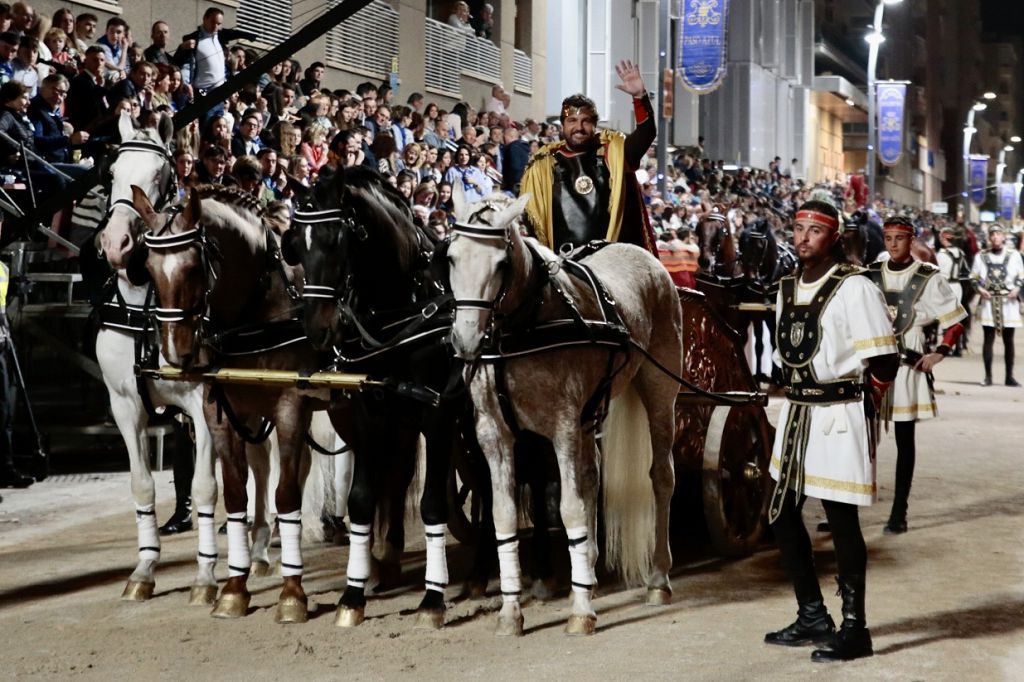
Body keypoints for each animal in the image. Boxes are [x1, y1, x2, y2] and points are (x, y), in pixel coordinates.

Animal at [444, 188, 684, 634]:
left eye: (500, 264)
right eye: (450, 257)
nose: (465, 339)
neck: (521, 331)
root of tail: (642, 255)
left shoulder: (563, 426)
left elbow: (569, 507)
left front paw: (581, 610)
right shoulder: (494, 434)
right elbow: (505, 517)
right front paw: (511, 612)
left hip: (661, 389)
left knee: (662, 476)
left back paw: (658, 578)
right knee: (591, 479)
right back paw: (586, 569)